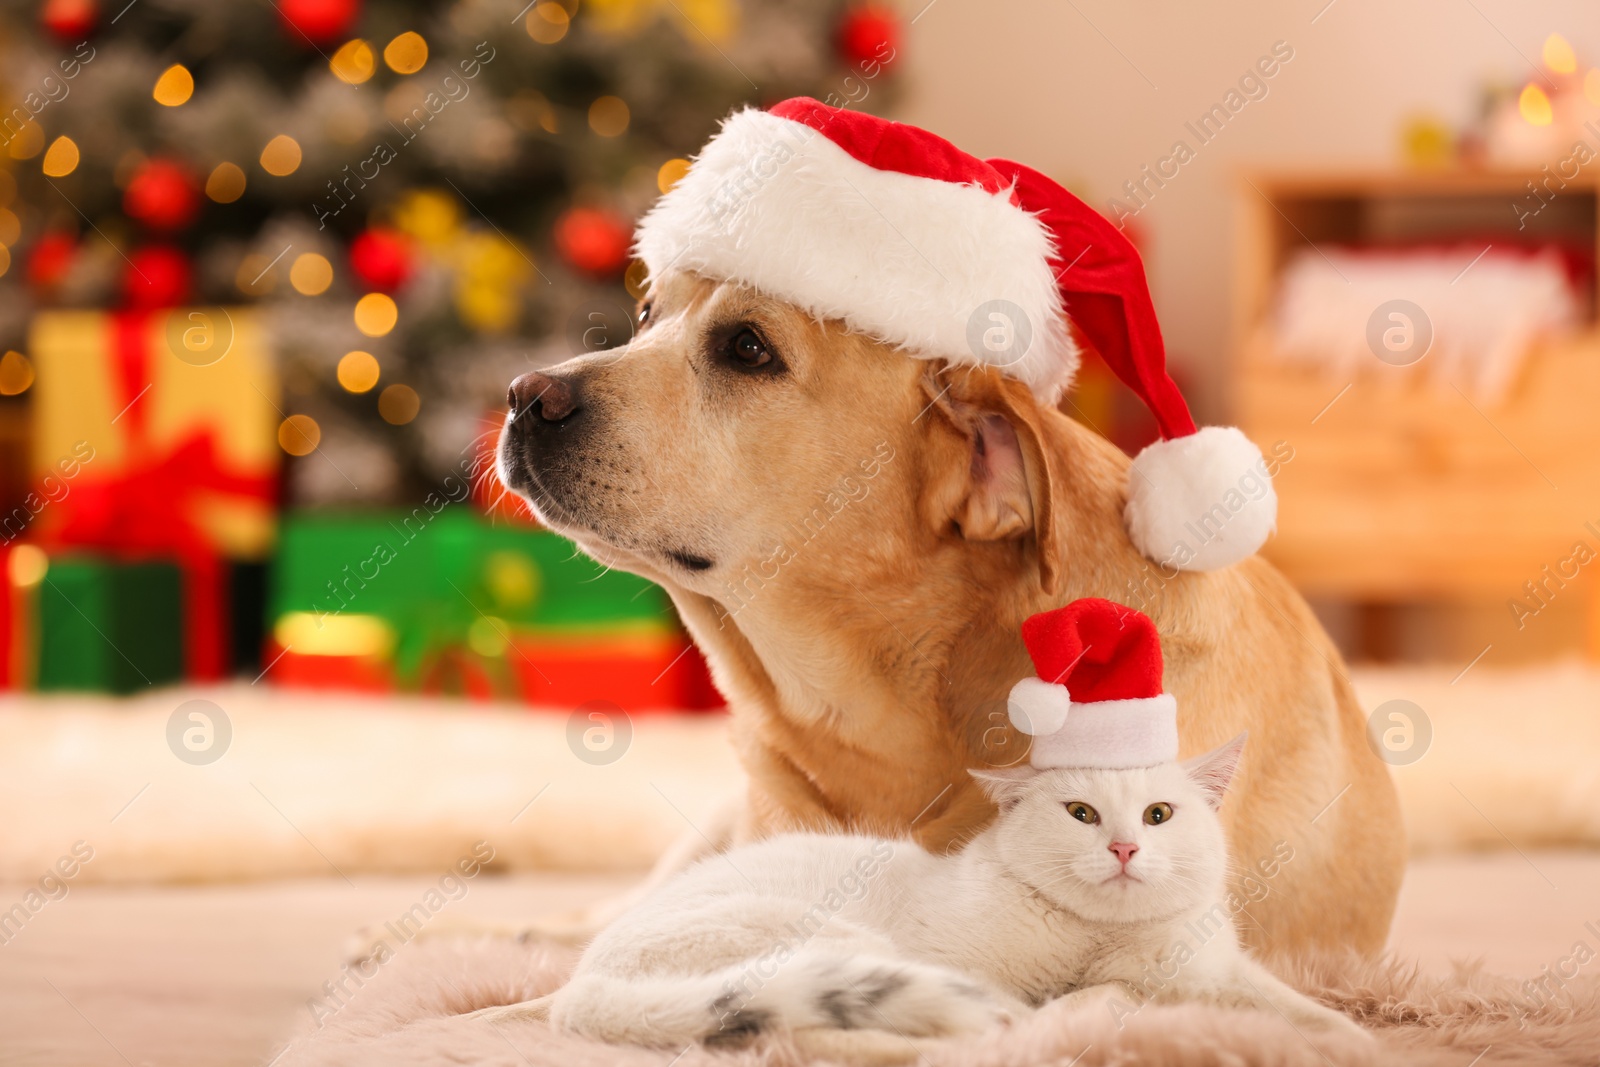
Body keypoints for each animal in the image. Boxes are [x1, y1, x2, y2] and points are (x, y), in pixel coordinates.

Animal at [467, 735, 1369, 1049]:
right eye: (1080, 812)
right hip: (833, 944)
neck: (1105, 937)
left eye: (1159, 814)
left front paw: (1354, 1038)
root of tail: (581, 990)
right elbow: (1095, 995)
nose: (1123, 846)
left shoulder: (1216, 969)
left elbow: (1304, 1010)